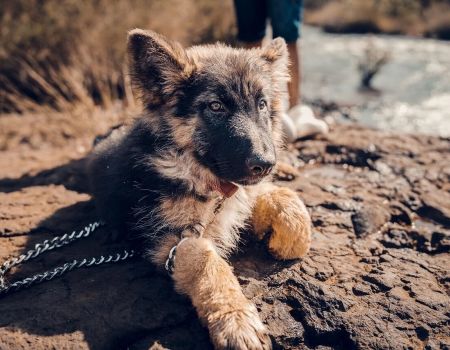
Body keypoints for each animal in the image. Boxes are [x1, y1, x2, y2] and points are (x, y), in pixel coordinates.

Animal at [89, 29, 312, 350]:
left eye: (261, 104)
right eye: (216, 106)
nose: (266, 164)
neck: (199, 173)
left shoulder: (240, 193)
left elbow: (282, 198)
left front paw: (286, 237)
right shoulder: (171, 238)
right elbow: (205, 261)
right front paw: (235, 318)